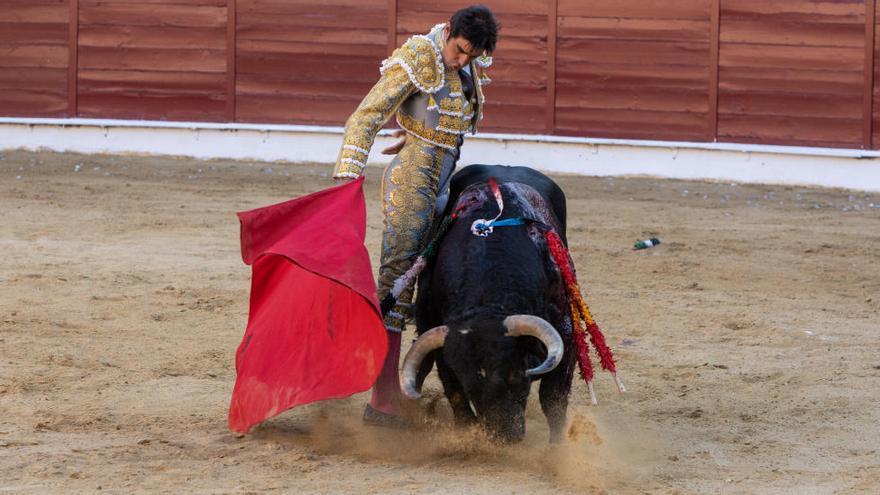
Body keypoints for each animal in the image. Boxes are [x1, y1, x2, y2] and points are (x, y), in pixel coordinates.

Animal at [400, 165, 576, 444]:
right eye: (471, 386)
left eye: (516, 373)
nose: (505, 435)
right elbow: (454, 393)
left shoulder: (565, 329)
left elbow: (554, 398)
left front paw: (558, 448)